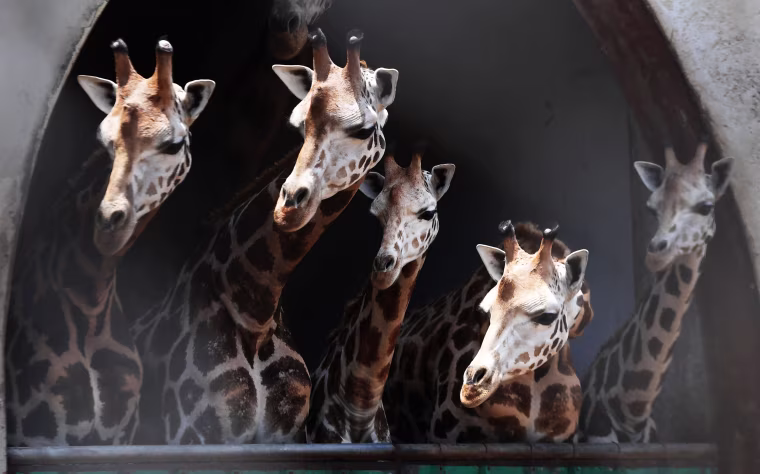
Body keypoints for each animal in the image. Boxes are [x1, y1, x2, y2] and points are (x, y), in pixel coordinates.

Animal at [5, 39, 215, 446]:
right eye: (104, 139)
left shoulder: (119, 434)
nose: (107, 225)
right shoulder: (38, 435)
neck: (93, 299)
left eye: (174, 144)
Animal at [132, 28, 399, 444]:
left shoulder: (287, 436)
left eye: (364, 130)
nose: (289, 206)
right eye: (298, 124)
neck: (255, 310)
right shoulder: (193, 434)